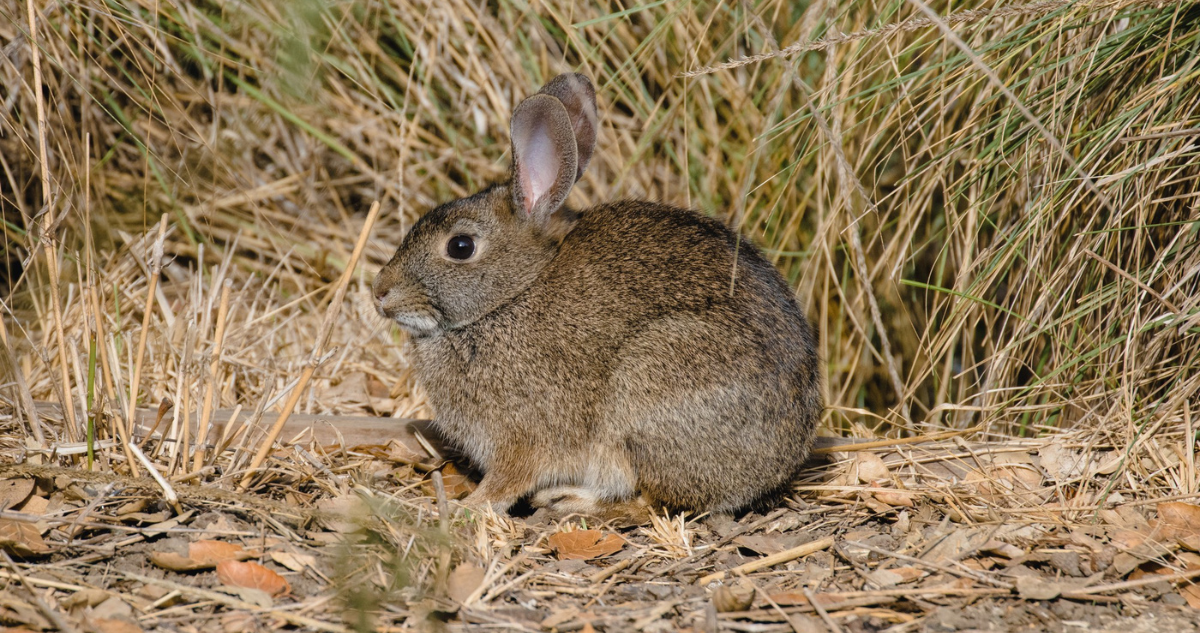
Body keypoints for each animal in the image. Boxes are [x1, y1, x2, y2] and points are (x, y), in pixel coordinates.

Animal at [372, 73, 821, 519]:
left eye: (461, 246)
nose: (380, 292)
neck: (510, 296)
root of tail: (779, 464)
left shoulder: (523, 435)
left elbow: (507, 480)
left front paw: (466, 507)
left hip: (647, 391)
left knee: (650, 501)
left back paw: (567, 499)